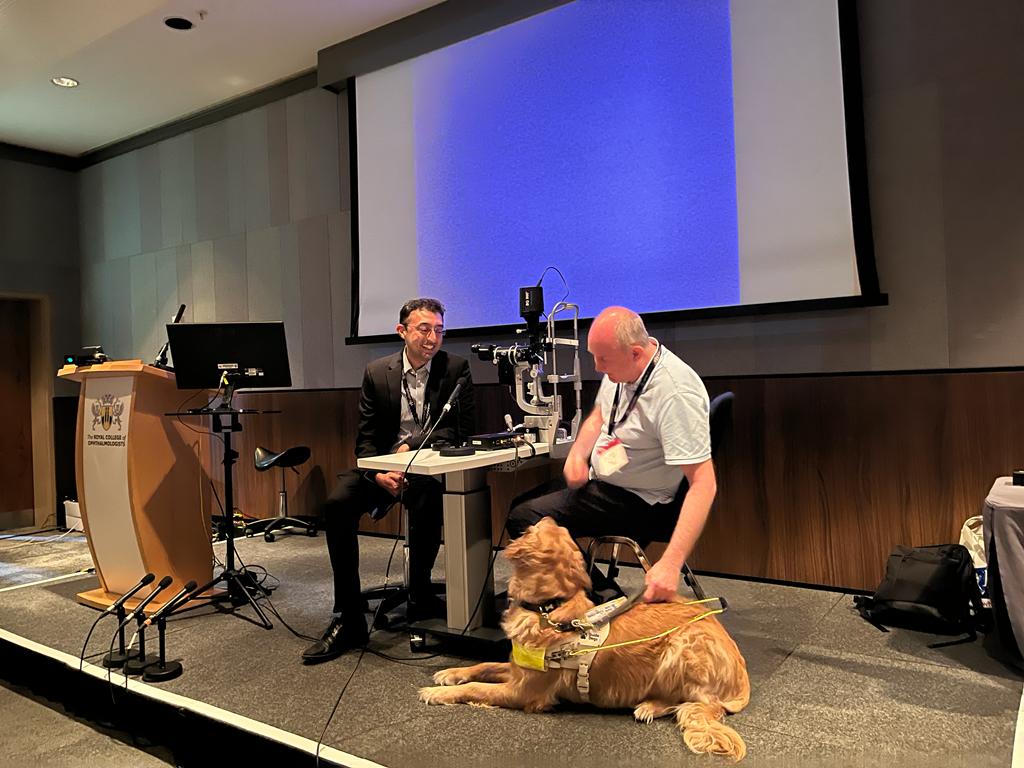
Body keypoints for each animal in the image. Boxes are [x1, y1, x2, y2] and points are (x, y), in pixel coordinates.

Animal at [417, 518, 753, 765]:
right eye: (561, 531)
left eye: (537, 528)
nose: (550, 516)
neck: (548, 608)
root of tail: (741, 679)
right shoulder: (518, 667)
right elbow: (484, 665)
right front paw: (450, 674)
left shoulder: (523, 691)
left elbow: (476, 688)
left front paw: (437, 693)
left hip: (683, 646)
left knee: (699, 703)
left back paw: (649, 706)